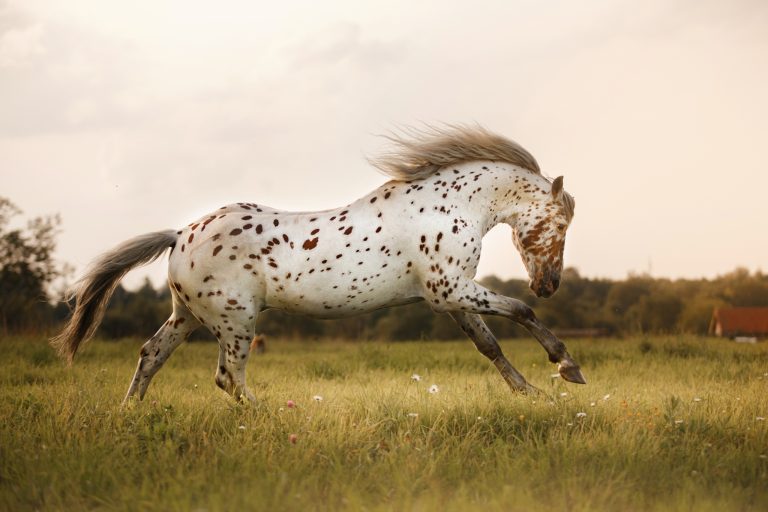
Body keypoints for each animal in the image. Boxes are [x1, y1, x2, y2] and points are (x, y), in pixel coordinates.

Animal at [50, 125, 585, 403]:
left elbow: (490, 345)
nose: (550, 284)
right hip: (236, 322)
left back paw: (130, 412)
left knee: (151, 355)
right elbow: (520, 311)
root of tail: (181, 235)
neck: (449, 205)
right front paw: (567, 367)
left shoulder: (452, 296)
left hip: (188, 317)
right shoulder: (448, 291)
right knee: (228, 377)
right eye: (560, 224)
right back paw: (270, 415)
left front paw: (531, 393)